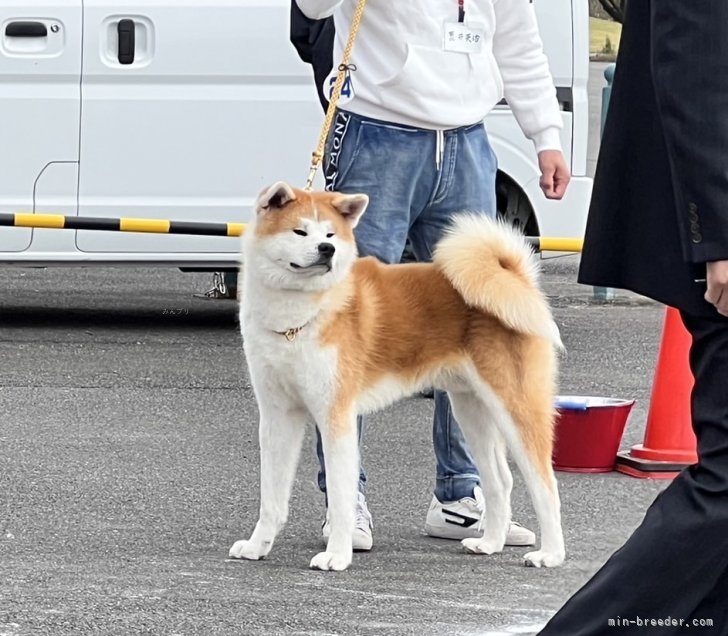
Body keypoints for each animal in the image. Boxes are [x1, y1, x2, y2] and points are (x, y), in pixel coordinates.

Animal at [230, 183, 564, 572]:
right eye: (300, 231)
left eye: (330, 235)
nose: (327, 250)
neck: (298, 317)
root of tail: (515, 278)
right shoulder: (277, 417)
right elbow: (271, 499)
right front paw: (257, 546)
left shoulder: (335, 417)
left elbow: (341, 499)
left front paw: (337, 555)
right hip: (472, 411)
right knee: (500, 482)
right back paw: (490, 543)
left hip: (516, 407)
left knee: (545, 485)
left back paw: (551, 553)